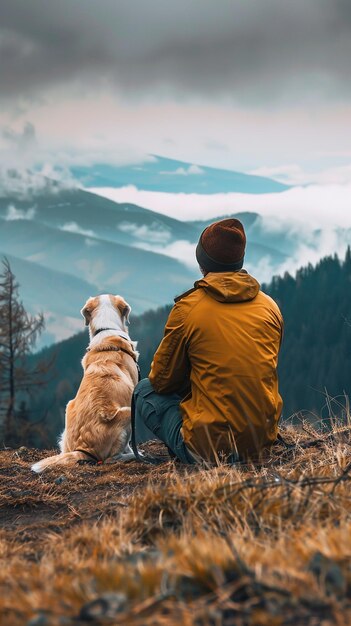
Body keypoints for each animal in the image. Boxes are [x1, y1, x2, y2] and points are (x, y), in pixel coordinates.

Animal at [31, 294, 139, 470]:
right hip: (127, 412)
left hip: (69, 406)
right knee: (111, 459)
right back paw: (132, 456)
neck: (107, 329)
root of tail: (83, 449)